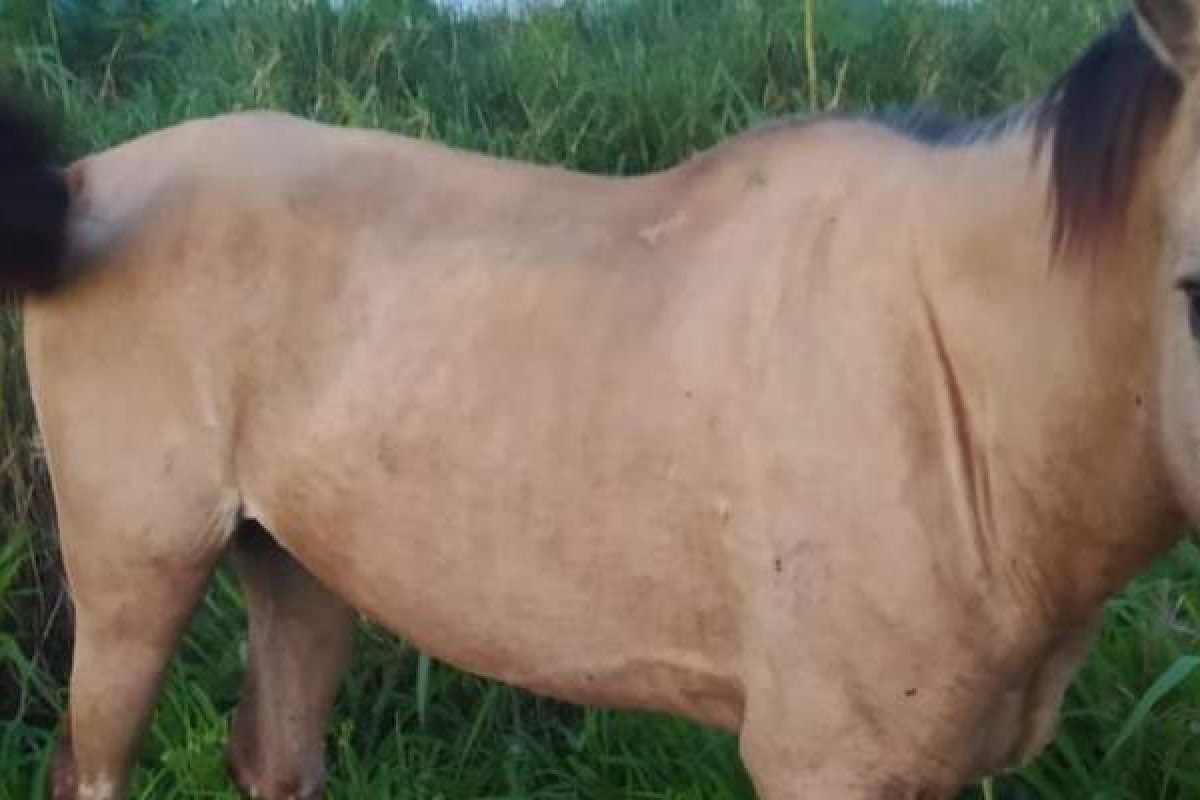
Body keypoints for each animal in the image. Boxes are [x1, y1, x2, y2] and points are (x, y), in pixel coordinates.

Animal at [3, 1, 1200, 797]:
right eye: (1193, 285)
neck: (956, 394)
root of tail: (86, 190)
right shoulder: (825, 761)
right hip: (135, 573)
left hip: (293, 562)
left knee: (273, 757)